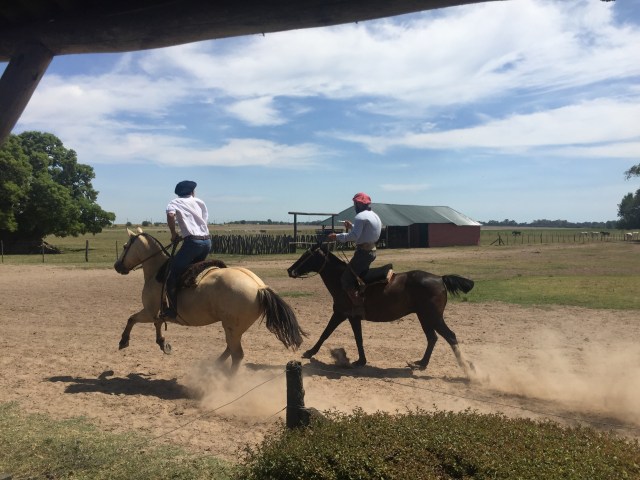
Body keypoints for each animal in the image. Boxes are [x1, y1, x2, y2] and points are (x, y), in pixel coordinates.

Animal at [113, 228, 305, 374]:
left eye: (125, 246)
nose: (117, 266)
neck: (157, 272)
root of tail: (259, 287)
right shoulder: (157, 313)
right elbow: (157, 324)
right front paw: (163, 344)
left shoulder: (150, 311)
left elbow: (132, 319)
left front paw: (124, 341)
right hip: (234, 328)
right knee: (230, 348)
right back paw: (216, 366)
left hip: (232, 328)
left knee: (237, 355)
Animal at [287, 243, 475, 376]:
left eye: (307, 255)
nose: (290, 270)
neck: (342, 281)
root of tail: (440, 279)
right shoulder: (353, 318)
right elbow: (358, 338)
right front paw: (361, 361)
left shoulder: (340, 314)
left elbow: (325, 333)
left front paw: (309, 352)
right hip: (425, 317)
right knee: (432, 338)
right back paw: (421, 363)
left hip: (432, 317)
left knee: (450, 336)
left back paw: (467, 369)